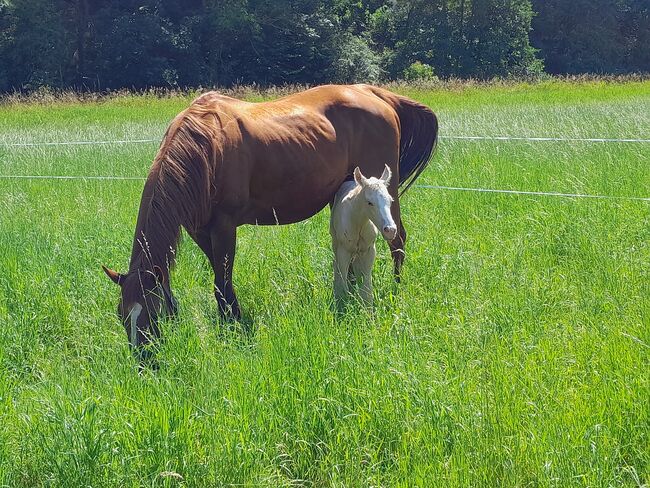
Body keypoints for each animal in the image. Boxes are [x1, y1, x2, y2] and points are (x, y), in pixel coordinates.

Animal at [330, 166, 394, 306]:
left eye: (391, 200)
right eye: (369, 202)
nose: (390, 230)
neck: (359, 222)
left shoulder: (369, 250)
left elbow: (367, 285)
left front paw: (367, 309)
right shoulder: (344, 250)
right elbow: (343, 279)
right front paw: (342, 305)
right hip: (336, 242)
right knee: (337, 266)